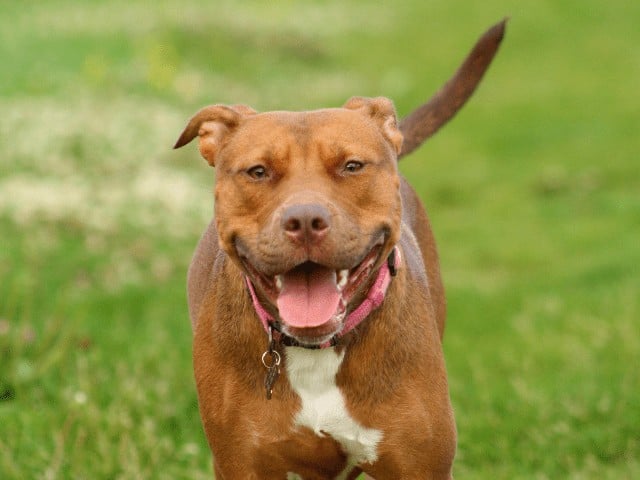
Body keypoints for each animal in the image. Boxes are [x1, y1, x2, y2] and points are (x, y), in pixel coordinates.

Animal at [174, 19, 504, 480]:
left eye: (351, 166)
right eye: (258, 171)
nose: (305, 221)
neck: (317, 353)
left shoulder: (420, 465)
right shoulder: (242, 463)